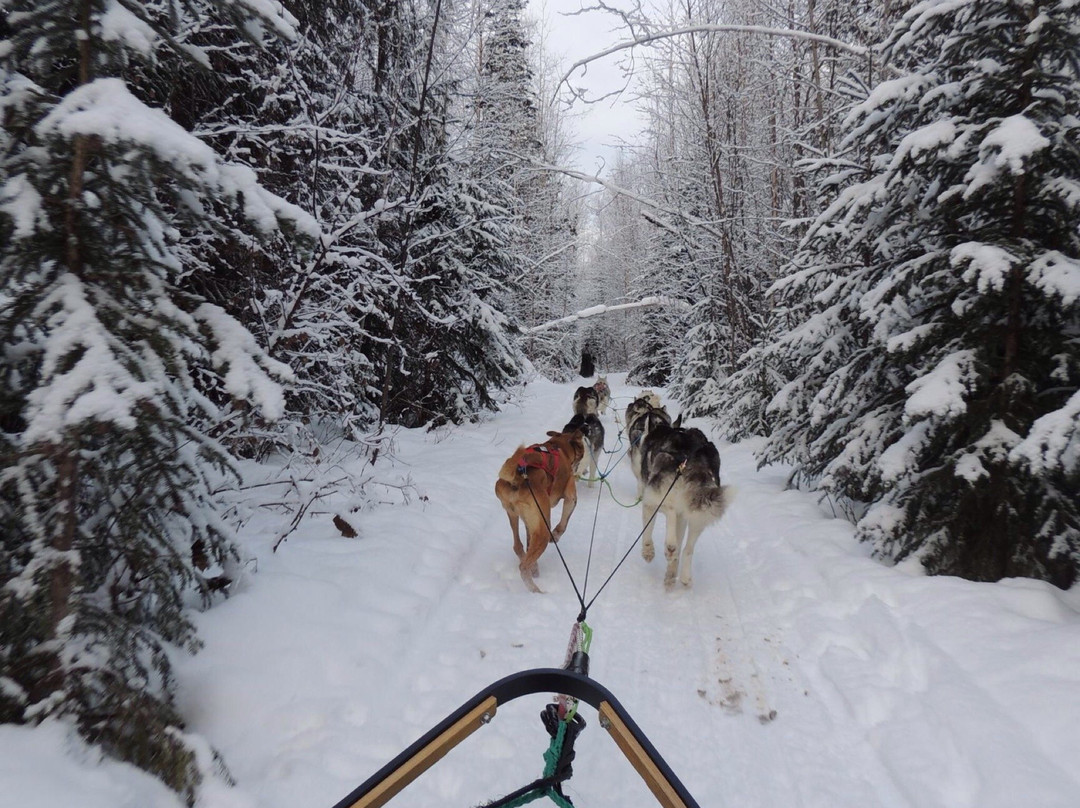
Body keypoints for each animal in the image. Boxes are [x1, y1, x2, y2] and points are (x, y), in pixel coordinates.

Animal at [494, 429, 583, 591]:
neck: (558, 445)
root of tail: (518, 478)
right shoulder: (570, 496)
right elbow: (564, 522)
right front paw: (556, 535)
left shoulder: (530, 522)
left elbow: (528, 540)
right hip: (543, 529)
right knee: (523, 567)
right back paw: (536, 591)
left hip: (514, 515)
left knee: (519, 546)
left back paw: (533, 567)